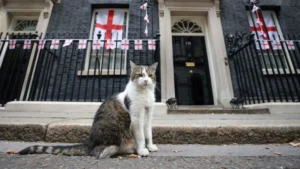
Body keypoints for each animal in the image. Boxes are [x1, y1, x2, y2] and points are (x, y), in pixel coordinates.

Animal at [18, 61, 159, 158]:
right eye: (140, 75)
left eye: (150, 75)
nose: (146, 80)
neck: (145, 93)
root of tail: (90, 142)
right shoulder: (136, 117)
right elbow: (140, 136)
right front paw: (142, 150)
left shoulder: (149, 114)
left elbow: (148, 133)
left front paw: (150, 146)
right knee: (98, 152)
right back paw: (120, 150)